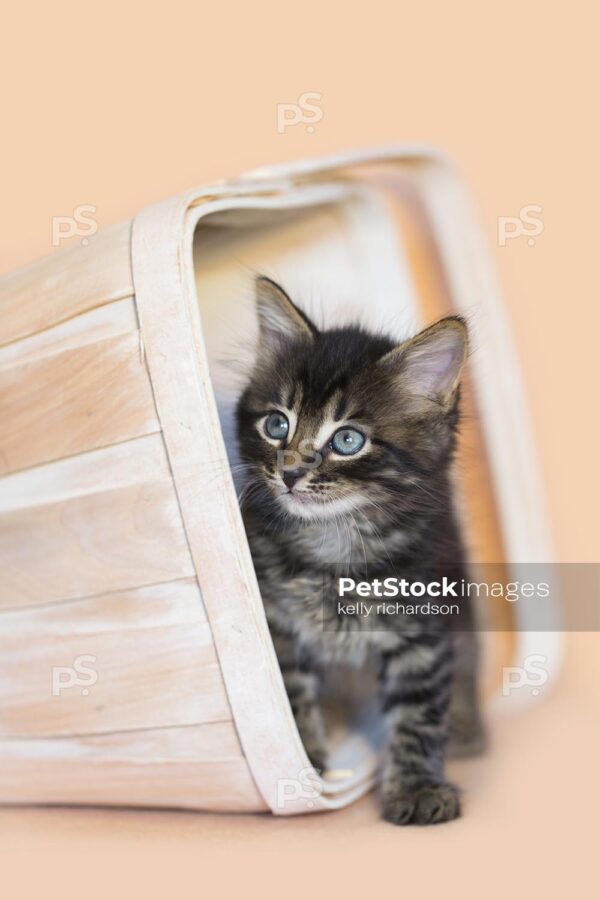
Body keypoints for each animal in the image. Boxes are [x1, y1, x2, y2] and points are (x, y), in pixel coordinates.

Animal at [237, 278, 486, 828]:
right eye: (276, 425)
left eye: (348, 439)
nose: (289, 472)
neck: (336, 542)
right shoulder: (278, 625)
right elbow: (293, 696)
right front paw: (307, 769)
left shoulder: (424, 628)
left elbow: (418, 716)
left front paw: (417, 788)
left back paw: (468, 728)